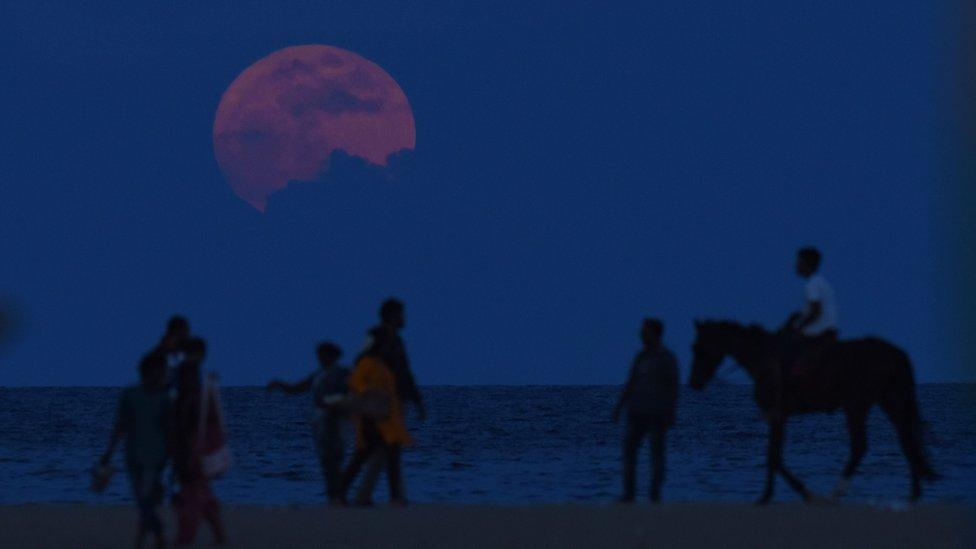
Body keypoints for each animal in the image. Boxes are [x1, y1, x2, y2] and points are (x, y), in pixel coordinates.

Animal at [684, 318, 936, 504]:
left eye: (697, 347)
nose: (694, 382)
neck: (763, 358)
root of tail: (895, 353)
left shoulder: (778, 415)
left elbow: (774, 457)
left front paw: (793, 493)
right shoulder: (779, 417)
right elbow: (773, 455)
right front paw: (770, 495)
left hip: (857, 405)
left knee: (862, 446)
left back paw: (834, 494)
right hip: (888, 401)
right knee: (906, 438)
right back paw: (913, 493)